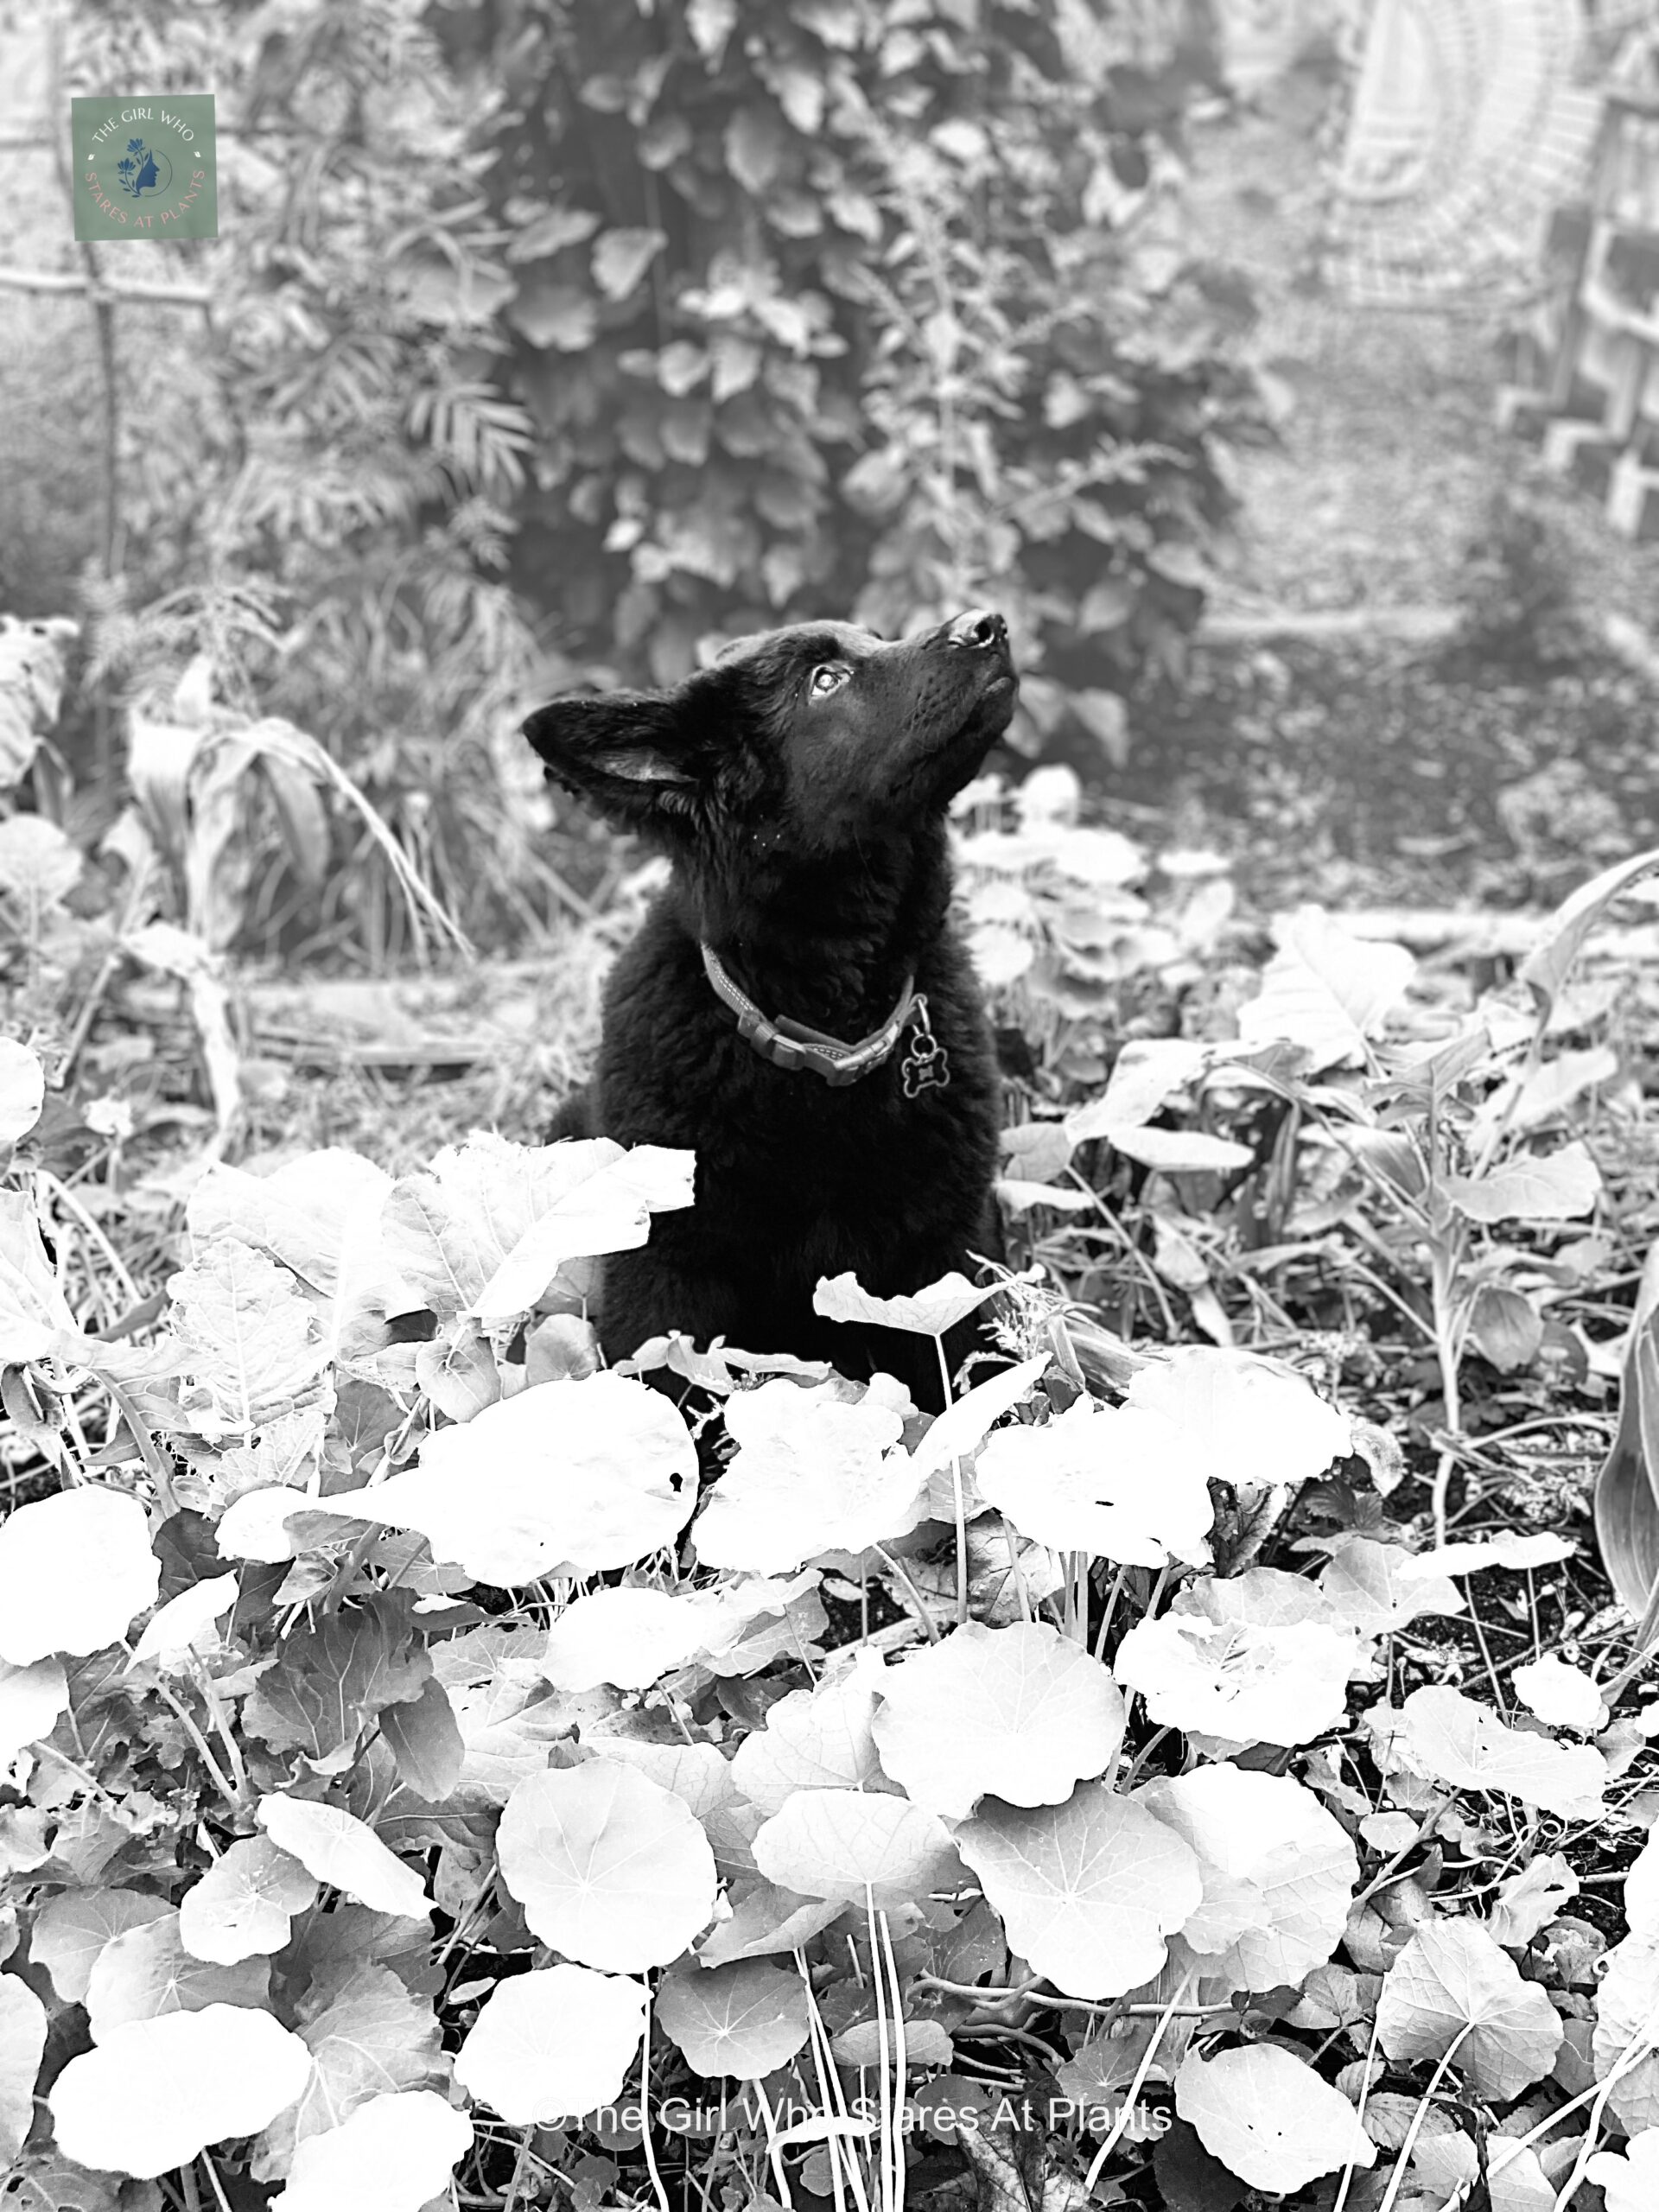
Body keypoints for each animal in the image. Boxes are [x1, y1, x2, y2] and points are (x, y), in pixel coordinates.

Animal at [522, 606, 1013, 1407]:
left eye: (876, 639)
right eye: (825, 681)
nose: (989, 623)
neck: (826, 1039)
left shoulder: (948, 1254)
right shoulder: (669, 1279)